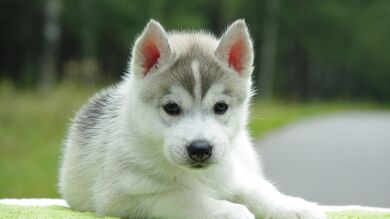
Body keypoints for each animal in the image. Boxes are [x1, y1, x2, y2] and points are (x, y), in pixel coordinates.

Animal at [58, 19, 326, 218]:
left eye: (220, 107)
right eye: (171, 108)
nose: (200, 149)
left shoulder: (233, 174)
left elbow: (256, 190)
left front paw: (294, 206)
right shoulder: (120, 196)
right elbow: (182, 198)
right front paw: (230, 211)